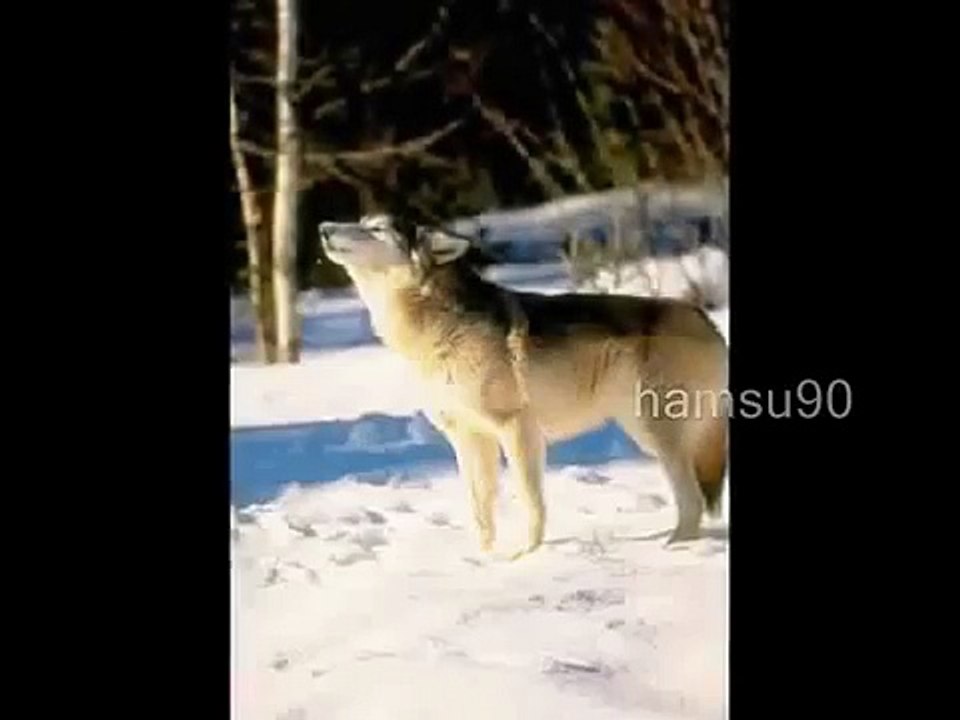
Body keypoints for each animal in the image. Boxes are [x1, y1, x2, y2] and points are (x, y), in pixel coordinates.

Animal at [319, 214, 728, 558]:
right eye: (361, 221)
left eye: (376, 228)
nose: (323, 228)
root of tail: (705, 320)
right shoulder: (469, 438)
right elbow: (480, 509)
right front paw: (485, 560)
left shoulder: (516, 429)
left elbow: (531, 502)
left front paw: (526, 558)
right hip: (646, 433)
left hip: (655, 433)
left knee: (693, 499)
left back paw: (676, 549)